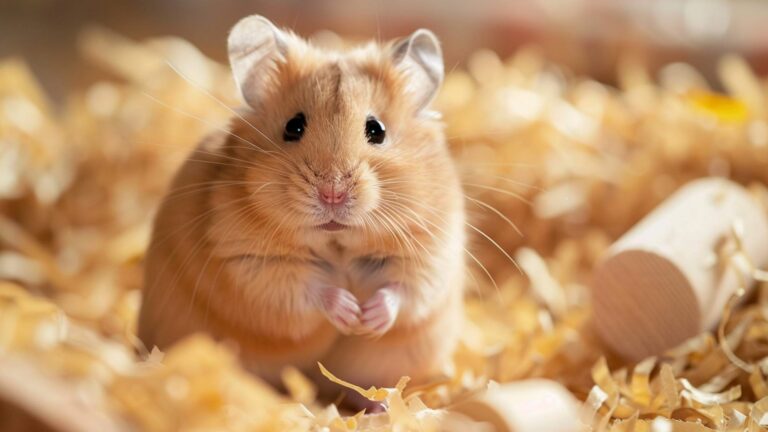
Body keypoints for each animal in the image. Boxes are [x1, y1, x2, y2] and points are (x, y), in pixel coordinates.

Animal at [138, 15, 466, 406]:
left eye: (377, 130)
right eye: (293, 126)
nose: (333, 193)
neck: (336, 244)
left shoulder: (433, 250)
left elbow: (405, 290)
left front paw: (368, 318)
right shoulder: (249, 264)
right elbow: (305, 290)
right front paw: (348, 310)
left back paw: (379, 405)